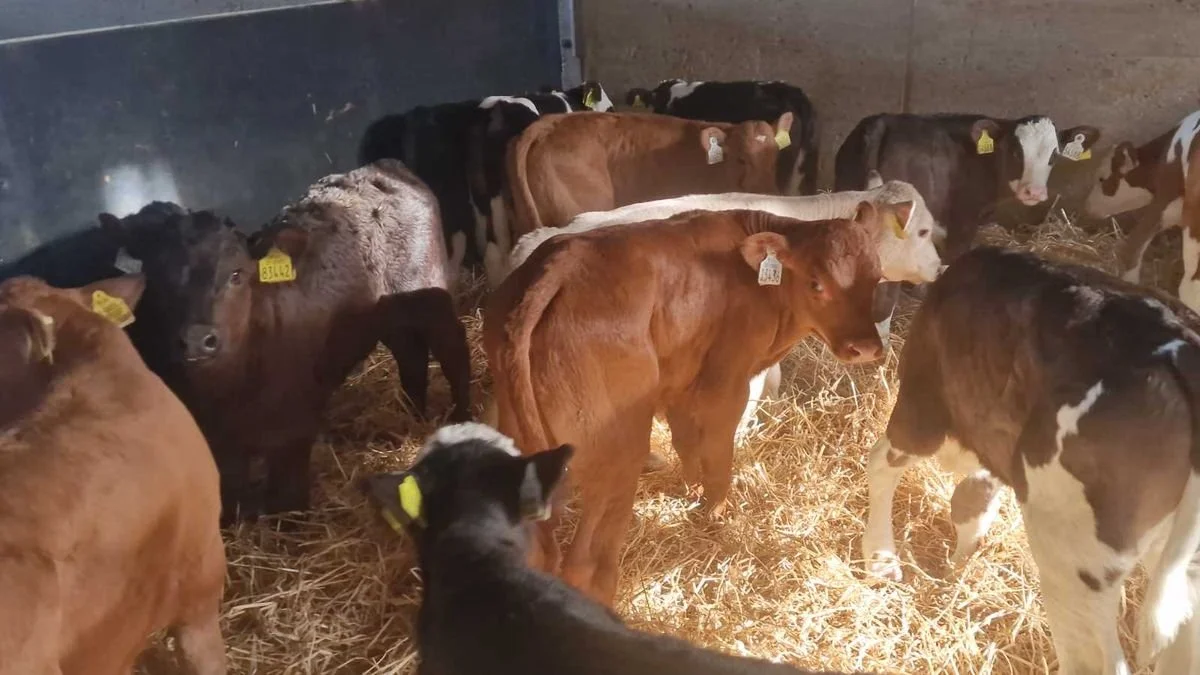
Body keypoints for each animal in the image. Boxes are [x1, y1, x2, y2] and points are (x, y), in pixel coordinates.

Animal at [108, 160, 473, 522]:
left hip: (431, 298)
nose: (197, 340)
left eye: (236, 275)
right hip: (390, 315)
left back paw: (461, 418)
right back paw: (411, 414)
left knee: (454, 349)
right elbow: (230, 490)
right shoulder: (218, 440)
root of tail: (385, 168)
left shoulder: (295, 426)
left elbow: (287, 494)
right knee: (410, 356)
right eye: (158, 277)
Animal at [484, 205, 891, 604]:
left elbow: (686, 443)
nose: (866, 347)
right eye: (816, 283)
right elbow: (718, 455)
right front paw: (716, 515)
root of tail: (557, 265)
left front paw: (693, 494)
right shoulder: (725, 385)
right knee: (585, 562)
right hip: (618, 453)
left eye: (877, 279)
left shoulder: (679, 379)